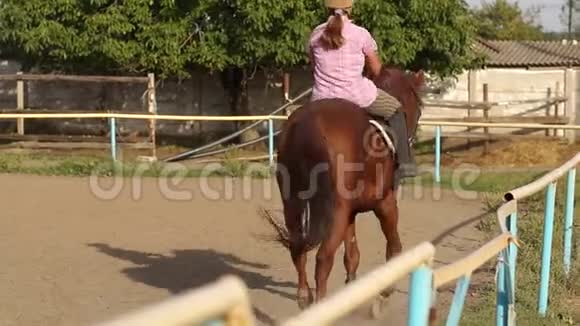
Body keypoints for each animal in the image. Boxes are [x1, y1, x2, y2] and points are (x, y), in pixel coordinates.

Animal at [262, 66, 426, 308]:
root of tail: (306, 125)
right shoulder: (385, 203)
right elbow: (394, 244)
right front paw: (387, 288)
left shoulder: (350, 212)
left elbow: (351, 255)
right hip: (336, 212)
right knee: (323, 258)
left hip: (293, 205)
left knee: (297, 249)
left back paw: (304, 296)